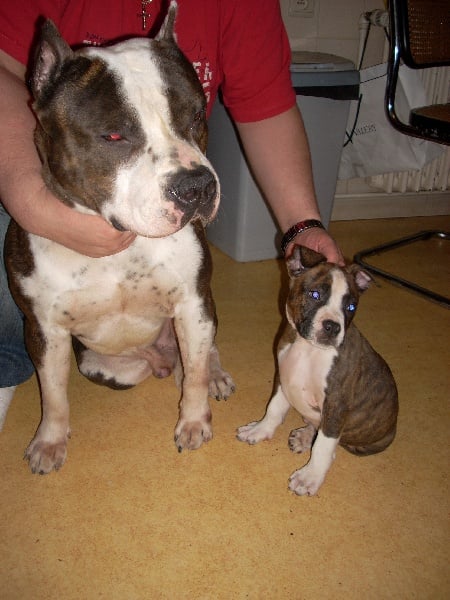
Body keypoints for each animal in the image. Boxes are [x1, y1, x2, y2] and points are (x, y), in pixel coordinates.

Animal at [237, 245, 398, 496]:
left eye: (351, 307)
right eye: (315, 295)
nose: (333, 326)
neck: (308, 349)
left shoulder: (336, 404)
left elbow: (324, 446)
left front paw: (309, 477)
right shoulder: (283, 379)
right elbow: (274, 410)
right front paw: (259, 430)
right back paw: (304, 435)